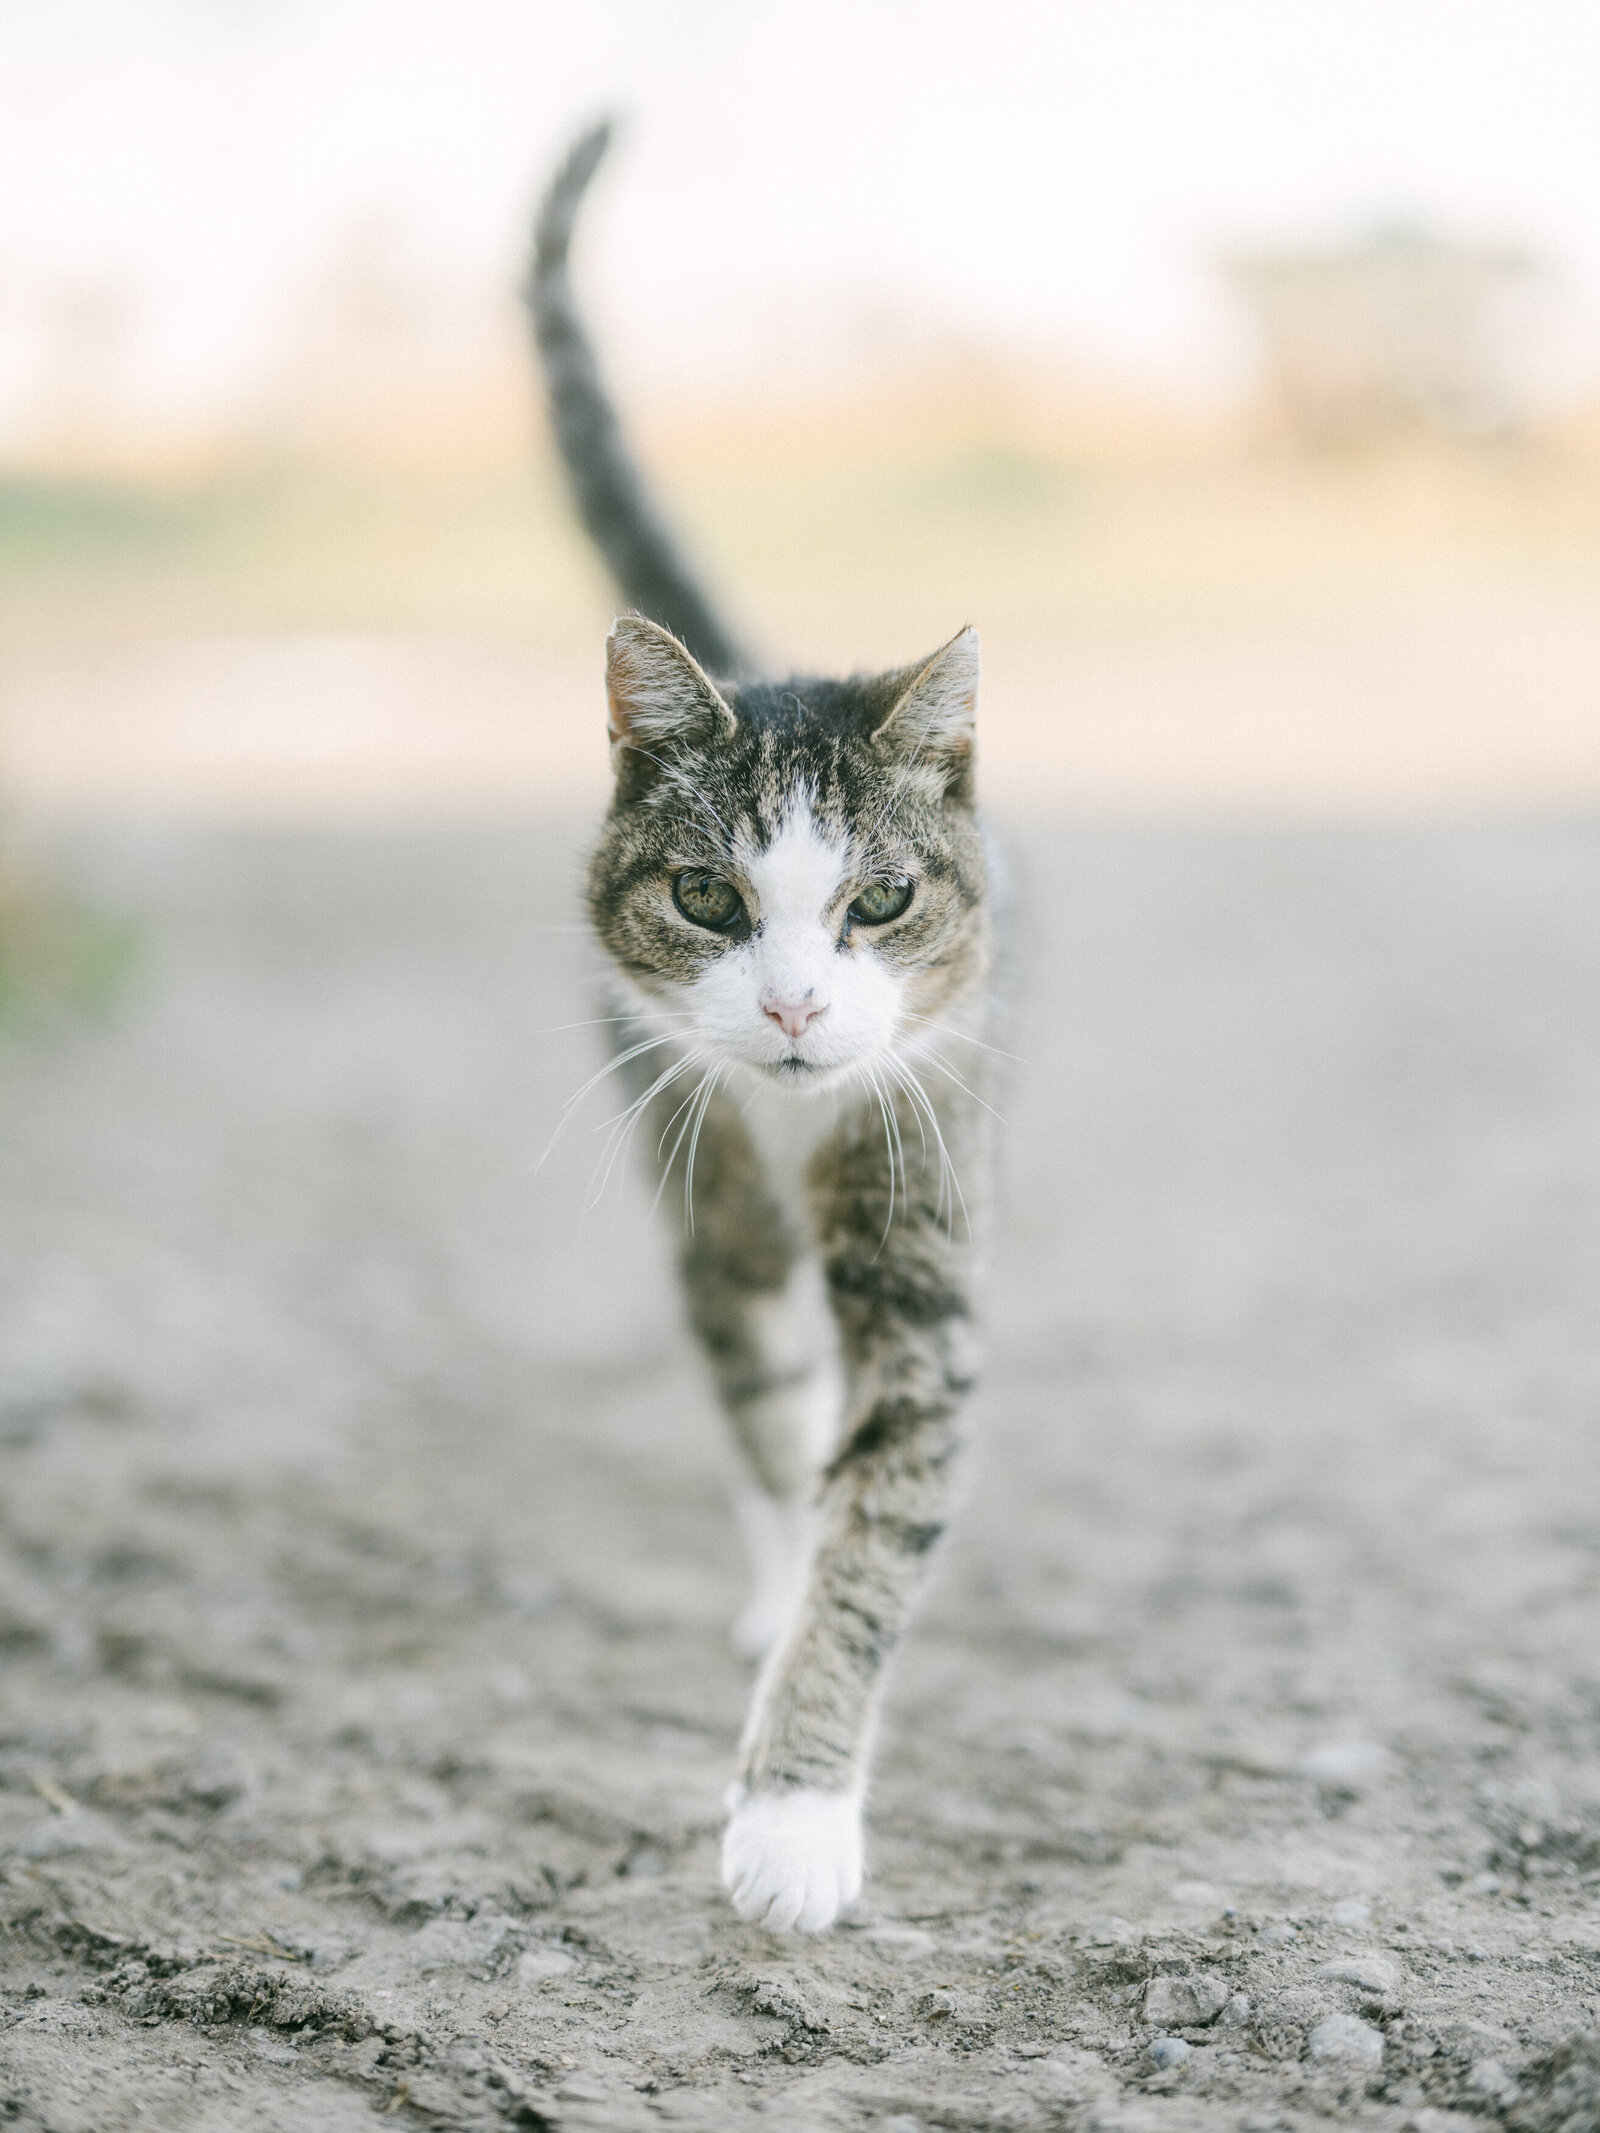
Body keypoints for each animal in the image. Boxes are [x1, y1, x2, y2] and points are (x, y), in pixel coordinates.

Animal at [526, 124, 1002, 1945]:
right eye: (708, 898)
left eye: (878, 900)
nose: (796, 1004)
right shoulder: (706, 1168)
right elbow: (775, 1417)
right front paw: (781, 1632)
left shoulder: (923, 1192)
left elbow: (874, 1521)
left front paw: (797, 1807)